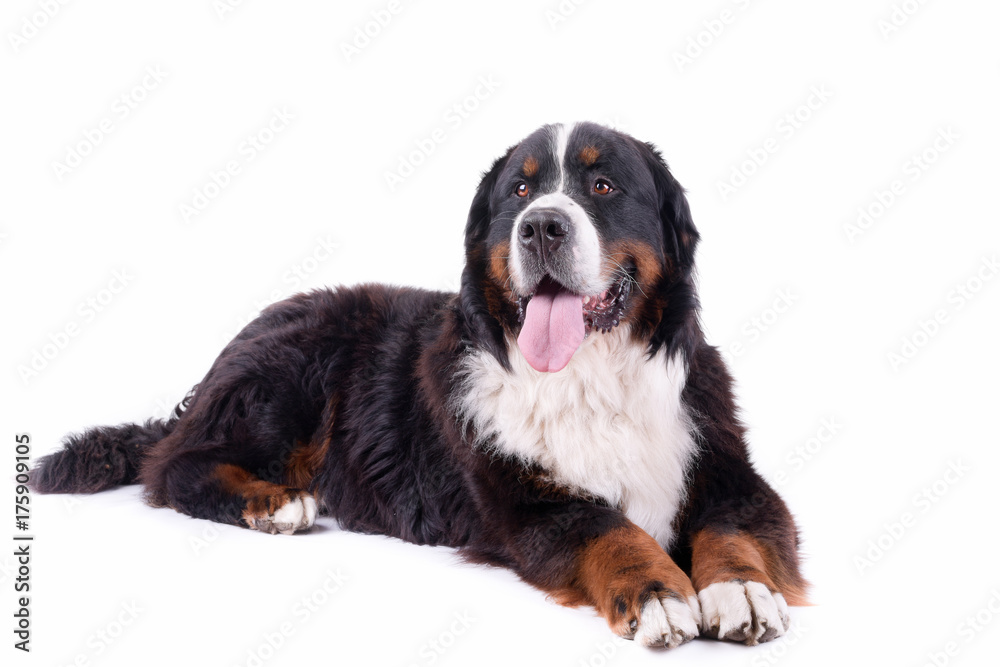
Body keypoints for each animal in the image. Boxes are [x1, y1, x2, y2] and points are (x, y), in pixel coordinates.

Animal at [31, 122, 808, 648]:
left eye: (603, 185)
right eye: (520, 190)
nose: (541, 226)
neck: (589, 377)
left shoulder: (725, 467)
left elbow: (732, 527)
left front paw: (739, 591)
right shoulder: (523, 500)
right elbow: (608, 528)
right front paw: (657, 592)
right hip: (290, 374)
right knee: (174, 466)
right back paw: (273, 501)